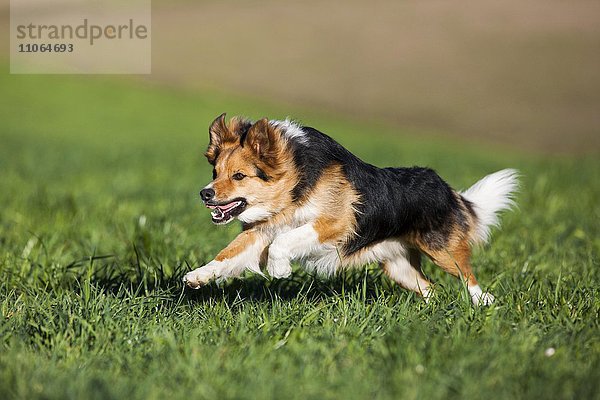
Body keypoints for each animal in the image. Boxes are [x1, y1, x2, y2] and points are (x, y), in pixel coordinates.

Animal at [183, 114, 516, 304]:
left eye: (239, 176)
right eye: (215, 173)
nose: (205, 194)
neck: (296, 180)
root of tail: (448, 189)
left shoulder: (335, 223)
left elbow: (284, 241)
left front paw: (280, 270)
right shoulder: (261, 231)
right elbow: (227, 255)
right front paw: (198, 276)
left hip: (443, 251)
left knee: (468, 277)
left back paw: (483, 304)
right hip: (398, 267)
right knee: (430, 289)